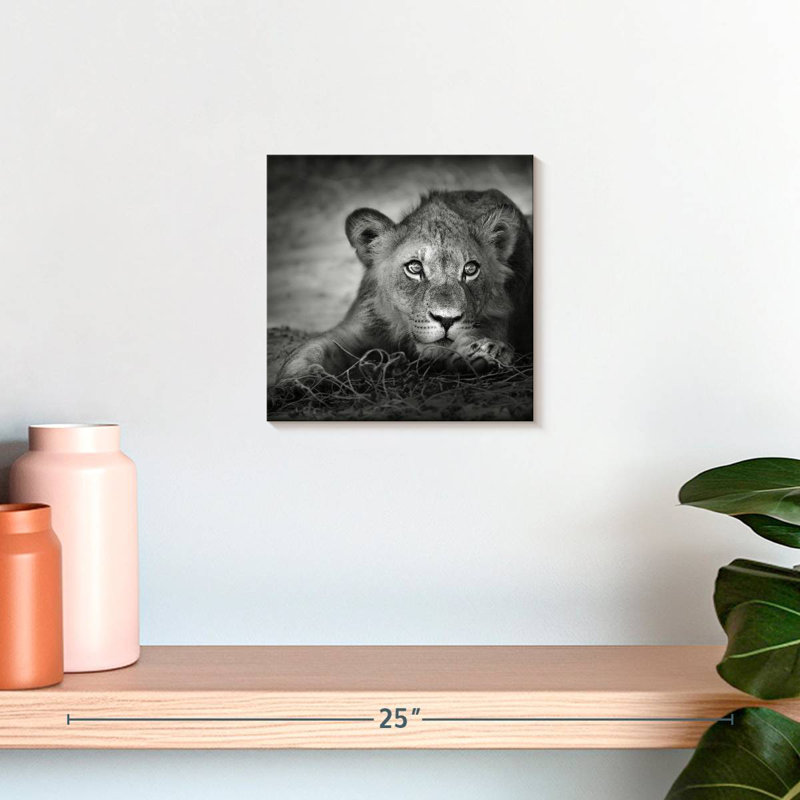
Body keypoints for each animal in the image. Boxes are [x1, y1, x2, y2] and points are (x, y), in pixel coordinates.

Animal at [276, 188, 532, 382]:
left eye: (470, 269)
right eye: (415, 268)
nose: (446, 319)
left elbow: (481, 334)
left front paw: (486, 353)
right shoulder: (357, 327)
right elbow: (310, 349)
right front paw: (298, 381)